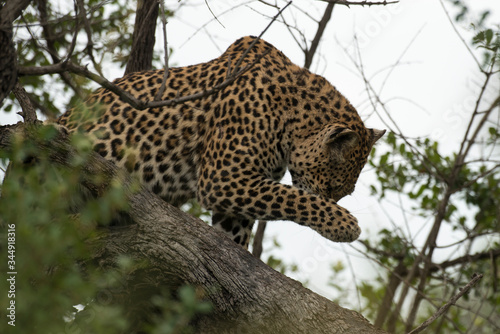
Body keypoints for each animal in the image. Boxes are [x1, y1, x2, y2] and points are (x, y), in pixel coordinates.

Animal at [59, 36, 386, 248]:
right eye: (331, 188)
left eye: (343, 192)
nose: (334, 203)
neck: (292, 119)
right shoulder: (224, 177)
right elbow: (293, 197)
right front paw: (343, 224)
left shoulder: (238, 195)